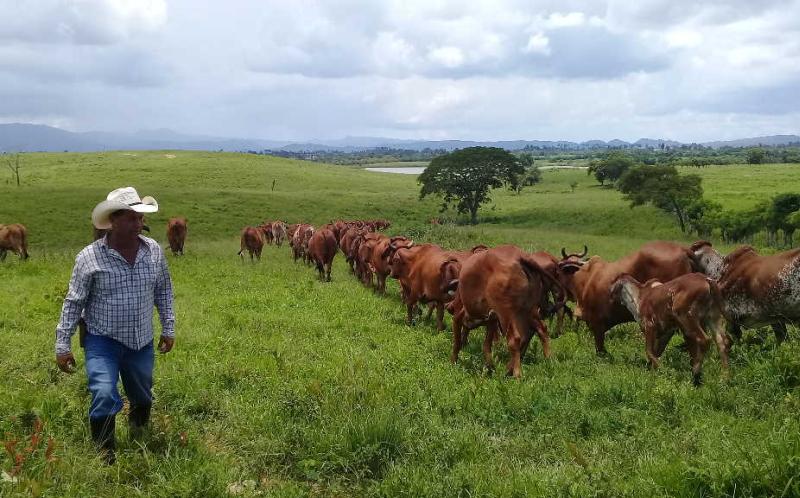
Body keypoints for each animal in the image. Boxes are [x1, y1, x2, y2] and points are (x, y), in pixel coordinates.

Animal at [446, 245, 564, 378]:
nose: (449, 307)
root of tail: (521, 257)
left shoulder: (458, 318)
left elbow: (457, 343)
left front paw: (453, 363)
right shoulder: (491, 321)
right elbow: (486, 346)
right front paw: (489, 367)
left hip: (506, 314)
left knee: (516, 339)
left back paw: (516, 373)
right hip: (528, 310)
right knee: (536, 331)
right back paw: (547, 360)